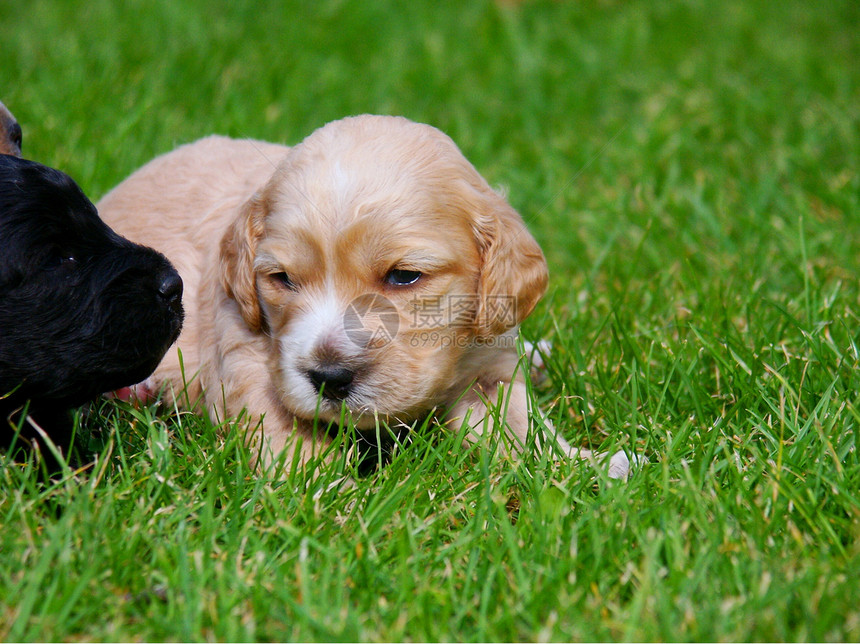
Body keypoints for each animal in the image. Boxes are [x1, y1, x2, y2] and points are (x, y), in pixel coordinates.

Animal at [99, 115, 632, 476]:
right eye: (283, 279)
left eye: (404, 276)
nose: (329, 378)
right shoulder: (245, 355)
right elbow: (290, 434)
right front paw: (330, 501)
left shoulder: (489, 366)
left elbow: (519, 424)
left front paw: (588, 467)